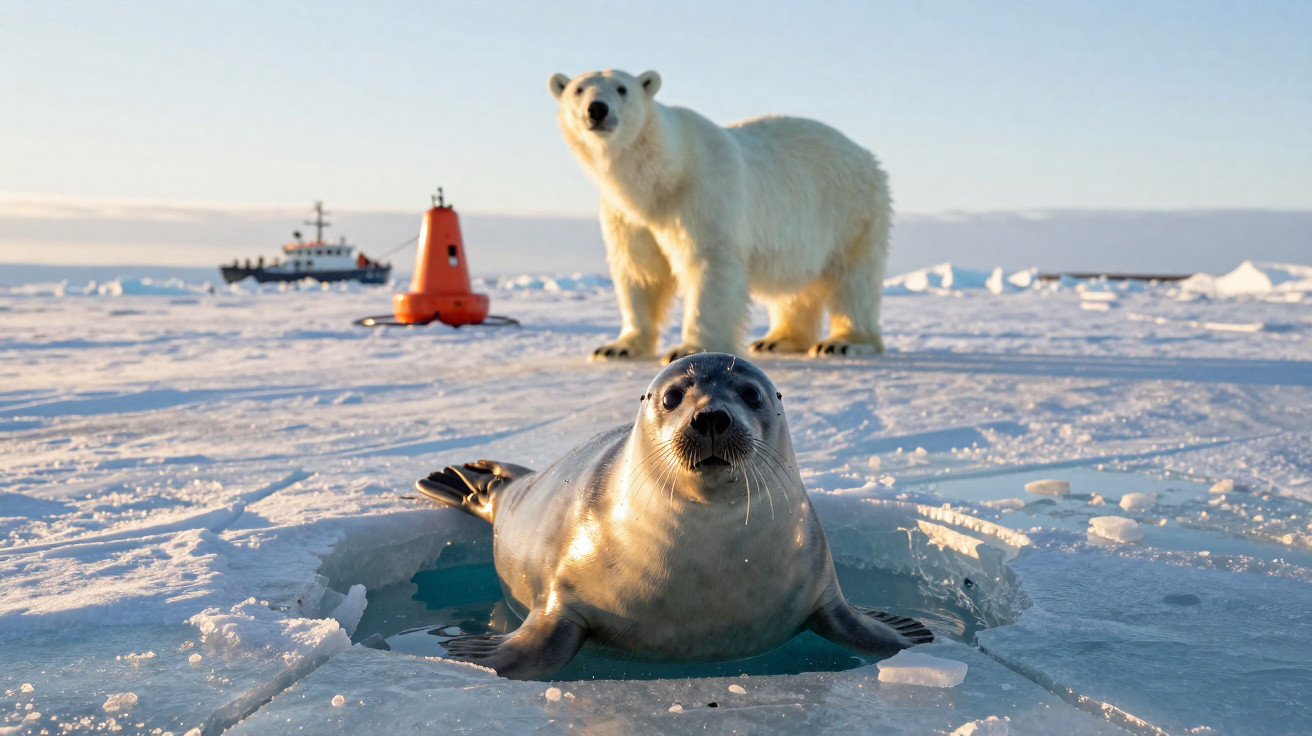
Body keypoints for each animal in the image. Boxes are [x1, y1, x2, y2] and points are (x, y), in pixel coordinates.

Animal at [550, 69, 892, 363]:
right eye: (578, 89)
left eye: (622, 88)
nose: (597, 109)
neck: (660, 177)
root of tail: (867, 156)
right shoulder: (627, 216)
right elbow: (640, 270)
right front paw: (617, 347)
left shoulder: (702, 193)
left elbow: (708, 263)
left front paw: (688, 349)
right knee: (795, 286)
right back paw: (777, 339)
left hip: (850, 209)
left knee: (853, 279)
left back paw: (843, 342)